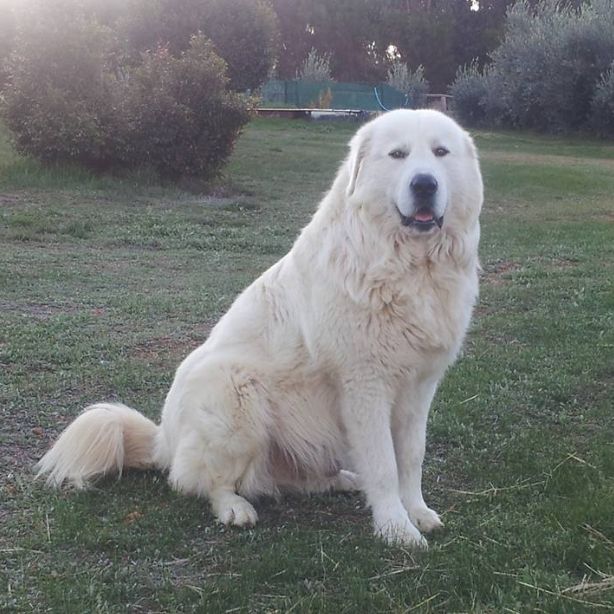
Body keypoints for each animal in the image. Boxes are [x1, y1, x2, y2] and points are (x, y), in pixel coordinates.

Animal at [36, 110, 484, 548]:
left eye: (440, 152)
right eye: (397, 155)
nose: (424, 183)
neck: (408, 266)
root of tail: (164, 438)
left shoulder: (419, 387)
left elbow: (410, 457)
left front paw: (417, 512)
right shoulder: (365, 386)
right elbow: (384, 464)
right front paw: (395, 528)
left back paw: (340, 480)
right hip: (235, 390)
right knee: (201, 482)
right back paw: (234, 508)